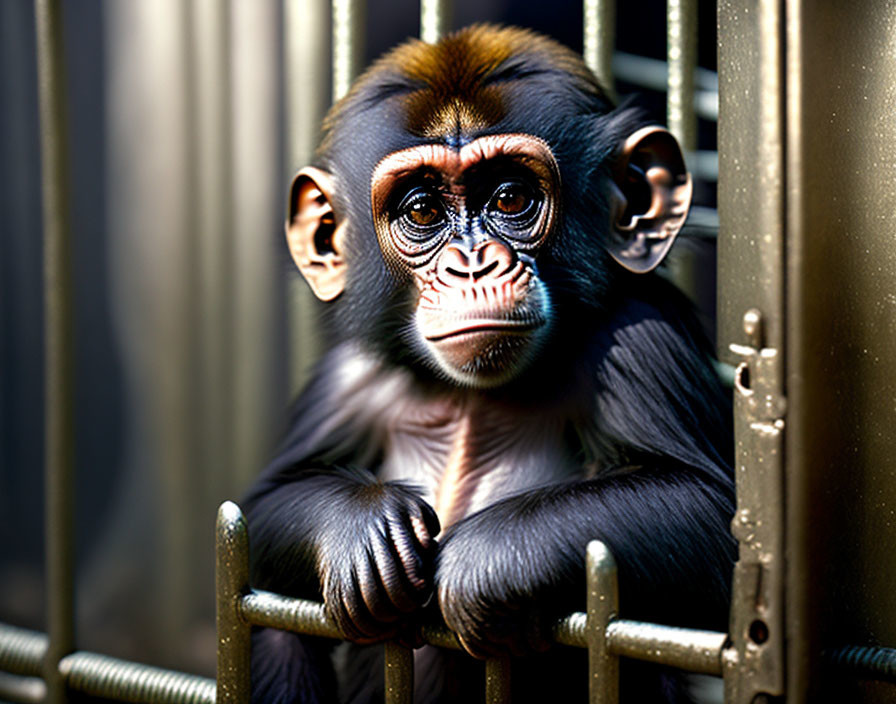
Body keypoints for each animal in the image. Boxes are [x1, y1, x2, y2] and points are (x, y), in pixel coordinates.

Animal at [243, 24, 736, 704]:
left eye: (510, 197)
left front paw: (491, 559)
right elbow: (266, 502)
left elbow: (712, 514)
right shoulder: (346, 377)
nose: (472, 264)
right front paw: (360, 528)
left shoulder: (644, 338)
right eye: (422, 210)